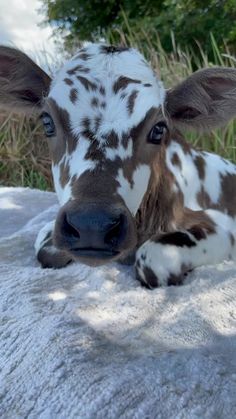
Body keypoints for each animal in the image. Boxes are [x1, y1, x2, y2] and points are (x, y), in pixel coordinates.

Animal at [0, 45, 236, 288]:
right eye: (47, 122)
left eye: (159, 129)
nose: (91, 224)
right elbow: (45, 248)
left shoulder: (223, 226)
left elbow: (153, 258)